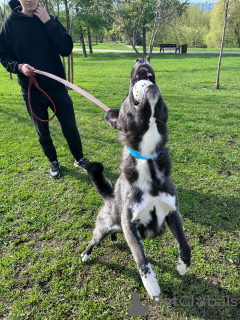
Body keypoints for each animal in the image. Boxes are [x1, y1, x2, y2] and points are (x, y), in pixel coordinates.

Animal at [81, 58, 191, 300]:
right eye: (126, 96)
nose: (141, 59)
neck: (148, 157)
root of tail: (110, 198)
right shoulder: (130, 225)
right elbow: (141, 257)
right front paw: (151, 284)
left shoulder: (172, 212)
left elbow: (185, 244)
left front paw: (182, 266)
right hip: (102, 228)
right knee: (93, 239)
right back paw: (86, 253)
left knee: (114, 234)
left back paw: (114, 240)